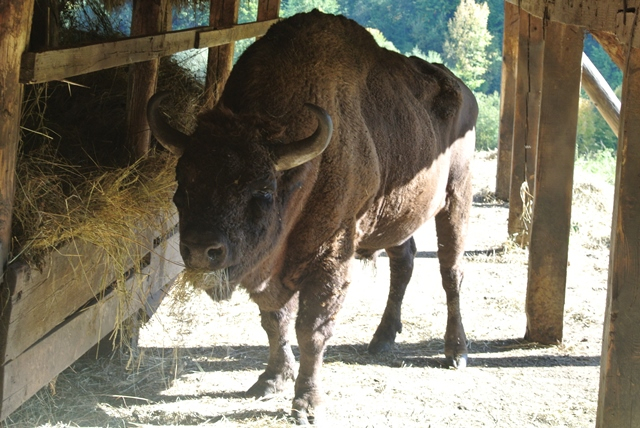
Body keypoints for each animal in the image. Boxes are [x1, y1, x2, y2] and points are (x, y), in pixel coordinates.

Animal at [148, 10, 478, 424]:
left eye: (263, 192)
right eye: (182, 184)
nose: (201, 250)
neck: (302, 172)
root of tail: (464, 91)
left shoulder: (331, 257)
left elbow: (312, 329)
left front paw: (307, 404)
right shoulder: (272, 267)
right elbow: (274, 320)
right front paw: (270, 381)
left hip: (457, 196)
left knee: (452, 271)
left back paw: (456, 352)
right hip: (399, 213)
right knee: (404, 262)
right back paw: (382, 339)